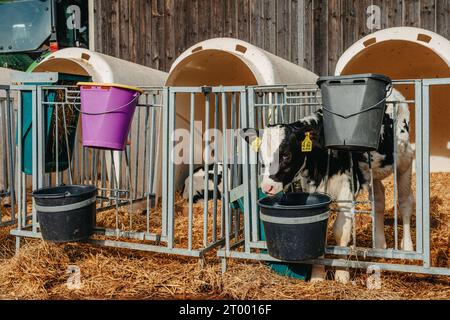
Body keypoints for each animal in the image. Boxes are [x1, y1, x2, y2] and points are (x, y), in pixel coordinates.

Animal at [243, 89, 414, 282]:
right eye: (261, 156)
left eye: (286, 155)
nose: (267, 187)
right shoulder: (313, 189)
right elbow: (321, 233)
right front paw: (317, 275)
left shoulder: (348, 188)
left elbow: (341, 231)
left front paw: (342, 274)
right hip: (373, 172)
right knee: (378, 200)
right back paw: (379, 245)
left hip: (404, 158)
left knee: (405, 201)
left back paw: (408, 249)